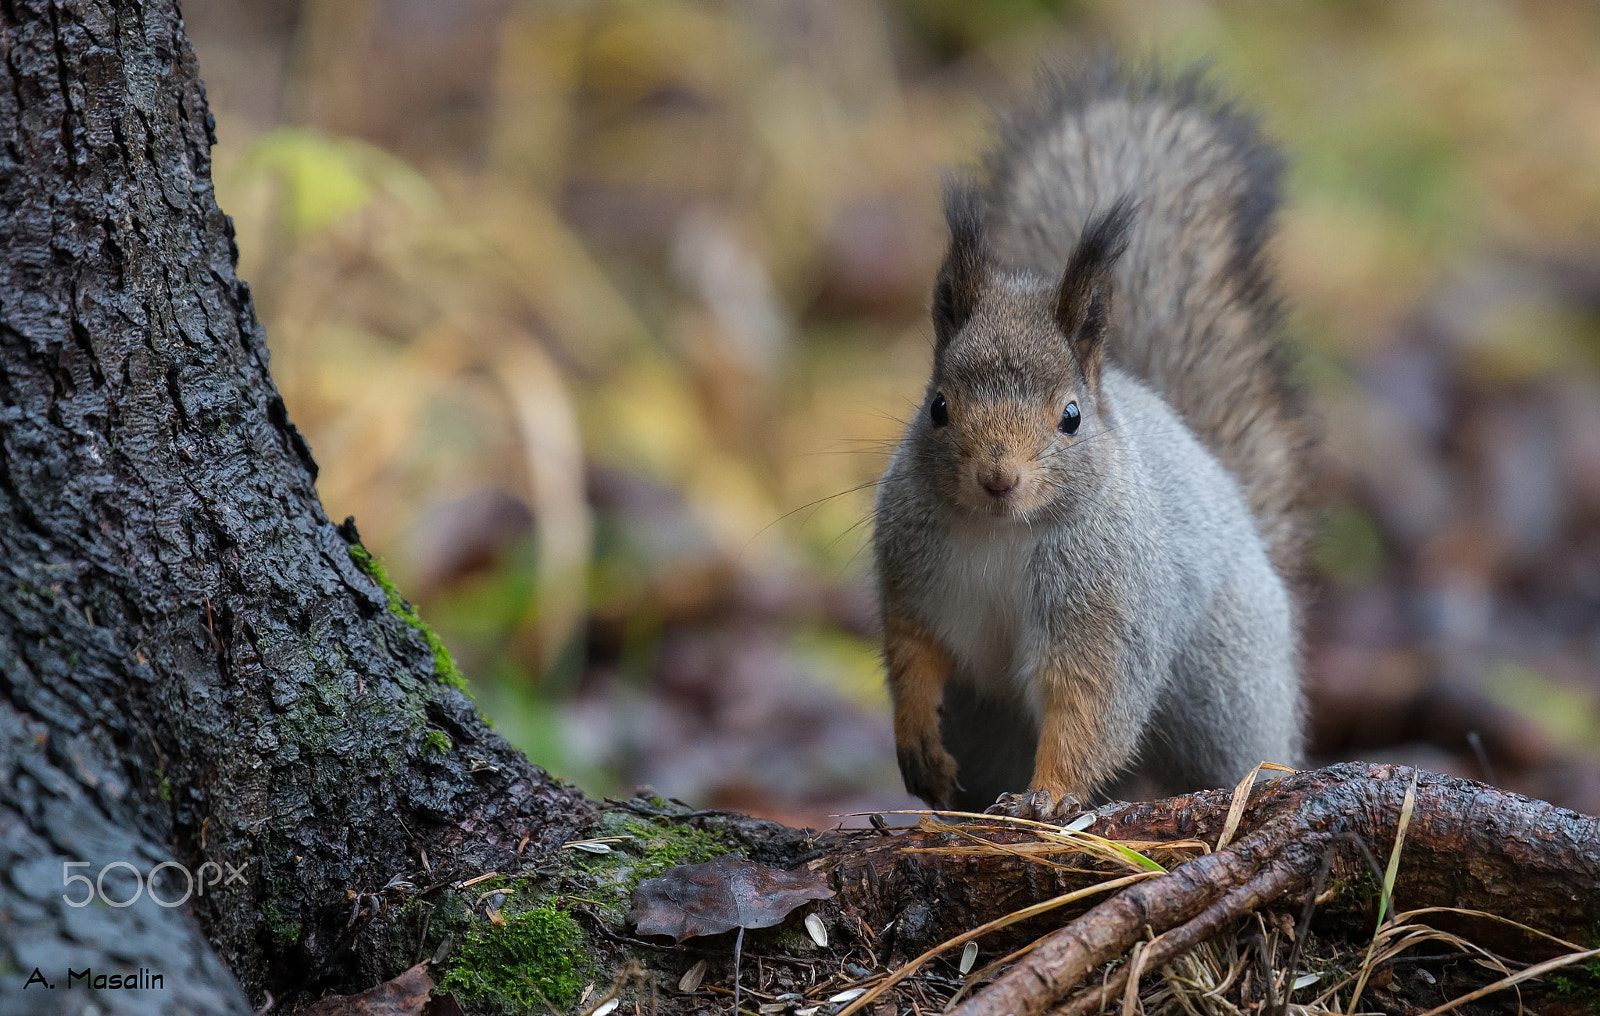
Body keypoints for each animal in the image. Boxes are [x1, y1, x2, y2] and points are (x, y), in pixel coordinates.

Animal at [873, 61, 1316, 814]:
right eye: (937, 407)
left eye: (1072, 416)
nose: (998, 479)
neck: (1001, 532)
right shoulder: (912, 575)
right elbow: (914, 657)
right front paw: (918, 743)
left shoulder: (1109, 608)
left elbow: (1090, 703)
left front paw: (1050, 799)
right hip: (987, 727)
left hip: (1225, 685)